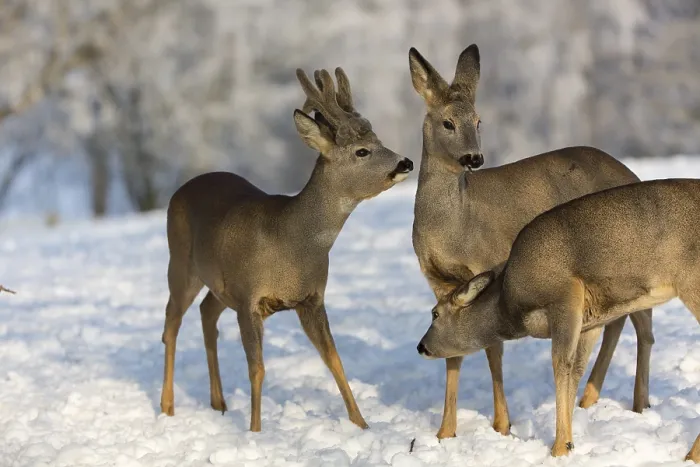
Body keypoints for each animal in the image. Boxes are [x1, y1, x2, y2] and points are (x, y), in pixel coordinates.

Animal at [159, 67, 413, 432]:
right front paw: (255, 431)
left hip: (220, 285)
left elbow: (334, 359)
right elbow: (257, 369)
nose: (406, 162)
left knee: (207, 312)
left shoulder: (311, 298)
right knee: (171, 324)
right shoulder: (249, 298)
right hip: (180, 263)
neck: (292, 242)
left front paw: (363, 424)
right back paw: (167, 407)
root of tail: (179, 190)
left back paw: (219, 404)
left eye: (379, 142)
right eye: (362, 151)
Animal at [408, 43, 654, 439]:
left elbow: (492, 348)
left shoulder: (486, 264)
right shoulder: (436, 278)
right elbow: (454, 351)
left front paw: (501, 425)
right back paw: (589, 399)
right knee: (616, 321)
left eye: (479, 121)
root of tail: (630, 173)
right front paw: (445, 433)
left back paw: (638, 404)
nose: (474, 157)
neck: (454, 225)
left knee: (642, 326)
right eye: (448, 122)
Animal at [416, 178, 700, 461]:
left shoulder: (566, 294)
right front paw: (569, 442)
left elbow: (560, 365)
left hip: (691, 282)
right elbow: (576, 369)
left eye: (435, 313)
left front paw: (559, 447)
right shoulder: (592, 318)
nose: (421, 346)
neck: (509, 304)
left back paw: (690, 454)